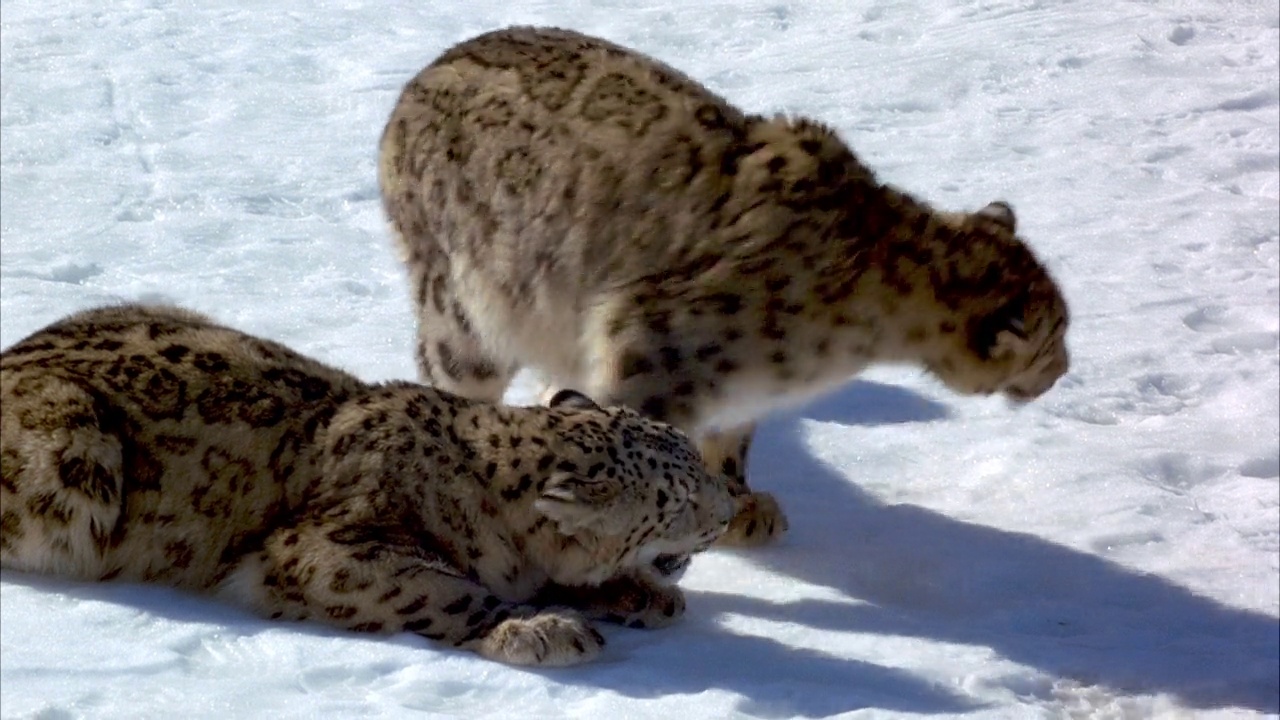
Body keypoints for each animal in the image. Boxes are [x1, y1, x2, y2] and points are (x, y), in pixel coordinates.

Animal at [0, 299, 737, 666]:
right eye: (675, 499)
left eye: (694, 462)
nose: (728, 511)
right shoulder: (324, 551)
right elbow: (439, 591)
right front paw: (542, 631)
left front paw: (639, 595)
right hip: (75, 450)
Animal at [376, 26, 1070, 543]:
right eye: (1054, 337)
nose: (1063, 371)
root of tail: (416, 81)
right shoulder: (655, 352)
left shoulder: (735, 388)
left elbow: (730, 435)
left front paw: (740, 503)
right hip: (464, 316)